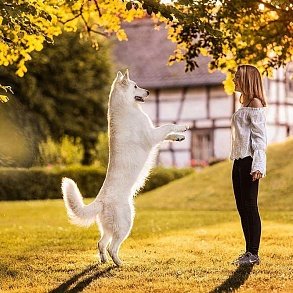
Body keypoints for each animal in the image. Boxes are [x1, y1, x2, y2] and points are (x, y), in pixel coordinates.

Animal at [61, 69, 187, 266]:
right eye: (135, 86)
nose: (149, 92)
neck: (126, 107)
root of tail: (100, 201)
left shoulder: (154, 133)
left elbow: (168, 133)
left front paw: (179, 137)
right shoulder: (152, 134)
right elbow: (168, 125)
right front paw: (182, 126)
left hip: (109, 228)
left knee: (101, 243)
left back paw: (104, 261)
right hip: (126, 223)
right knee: (112, 247)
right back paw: (119, 263)